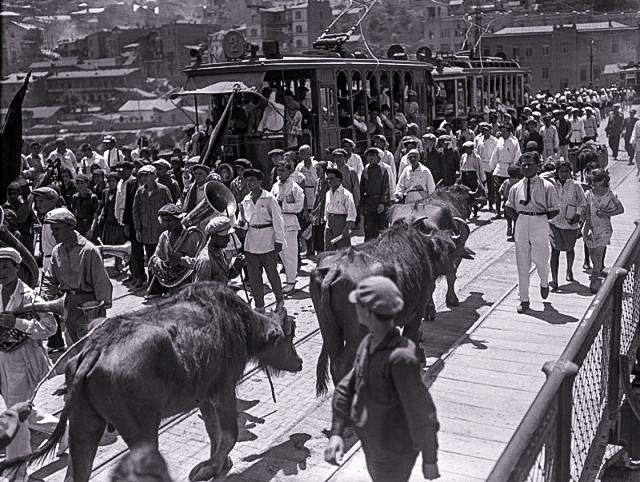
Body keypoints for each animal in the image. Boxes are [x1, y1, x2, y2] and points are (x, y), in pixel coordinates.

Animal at [0, 282, 302, 482]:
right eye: (289, 334)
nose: (298, 362)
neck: (243, 327)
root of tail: (95, 348)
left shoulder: (202, 395)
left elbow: (213, 431)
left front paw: (216, 463)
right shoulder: (223, 388)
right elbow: (228, 434)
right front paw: (213, 466)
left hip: (83, 425)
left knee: (77, 471)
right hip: (141, 432)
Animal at [310, 218, 460, 396]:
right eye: (448, 247)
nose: (453, 268)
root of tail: (335, 269)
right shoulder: (417, 311)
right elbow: (412, 335)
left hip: (330, 331)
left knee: (334, 362)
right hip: (356, 334)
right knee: (342, 365)